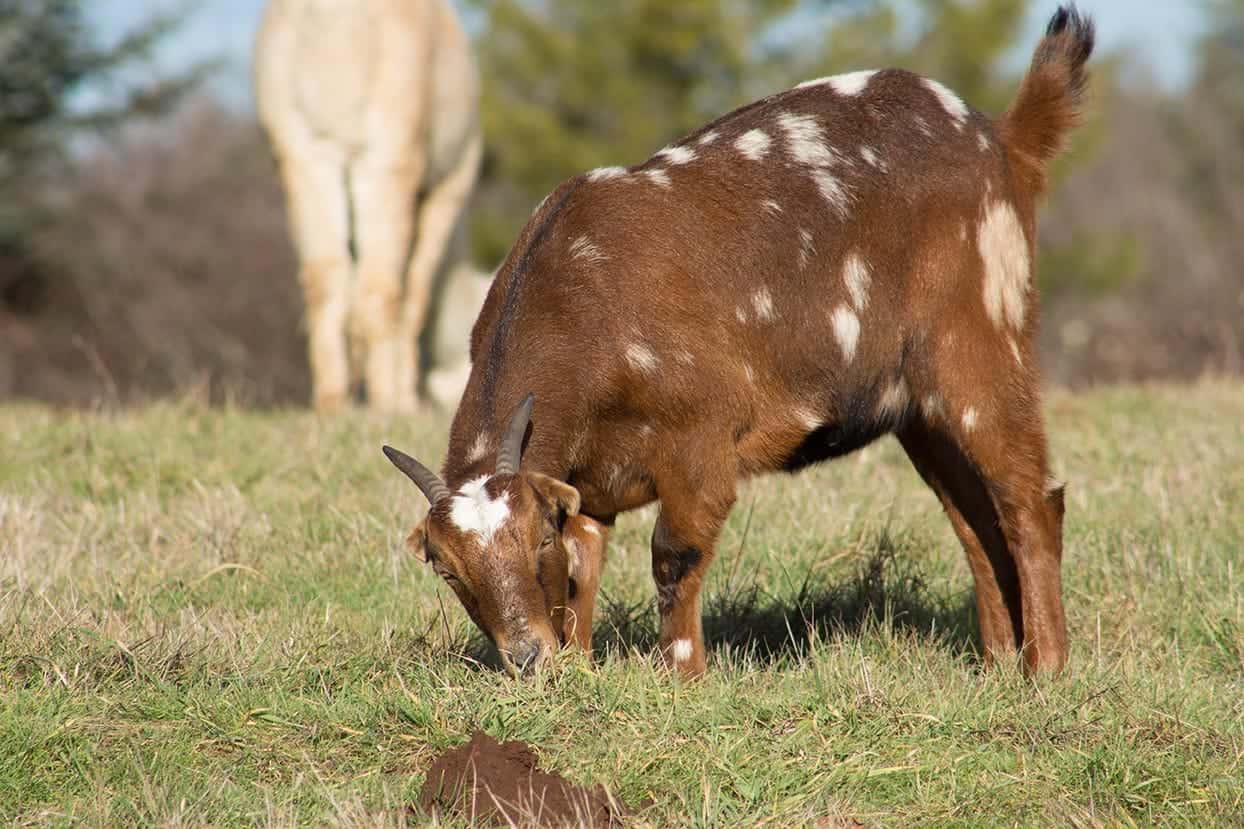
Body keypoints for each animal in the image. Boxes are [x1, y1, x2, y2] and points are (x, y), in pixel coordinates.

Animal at [255, 0, 481, 413]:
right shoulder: (445, 181)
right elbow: (407, 294)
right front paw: (400, 400)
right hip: (394, 157)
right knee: (385, 288)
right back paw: (388, 402)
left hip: (308, 157)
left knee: (327, 280)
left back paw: (334, 402)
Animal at [383, 6, 1093, 678]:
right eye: (448, 569)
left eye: (536, 542)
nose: (527, 657)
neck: (582, 300)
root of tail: (1000, 139)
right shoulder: (589, 476)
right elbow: (586, 562)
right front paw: (579, 670)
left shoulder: (701, 443)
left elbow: (674, 554)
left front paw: (682, 676)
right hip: (917, 409)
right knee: (974, 519)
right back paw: (997, 663)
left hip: (981, 343)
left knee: (1028, 501)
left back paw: (1046, 670)